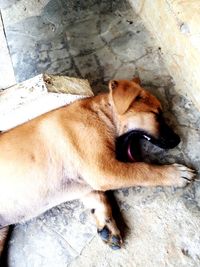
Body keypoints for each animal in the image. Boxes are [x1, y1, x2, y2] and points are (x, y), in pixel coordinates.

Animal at [0, 78, 195, 253]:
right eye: (157, 115)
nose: (178, 139)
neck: (100, 115)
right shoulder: (102, 170)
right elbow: (144, 169)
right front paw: (175, 173)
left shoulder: (87, 182)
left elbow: (101, 200)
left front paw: (108, 226)